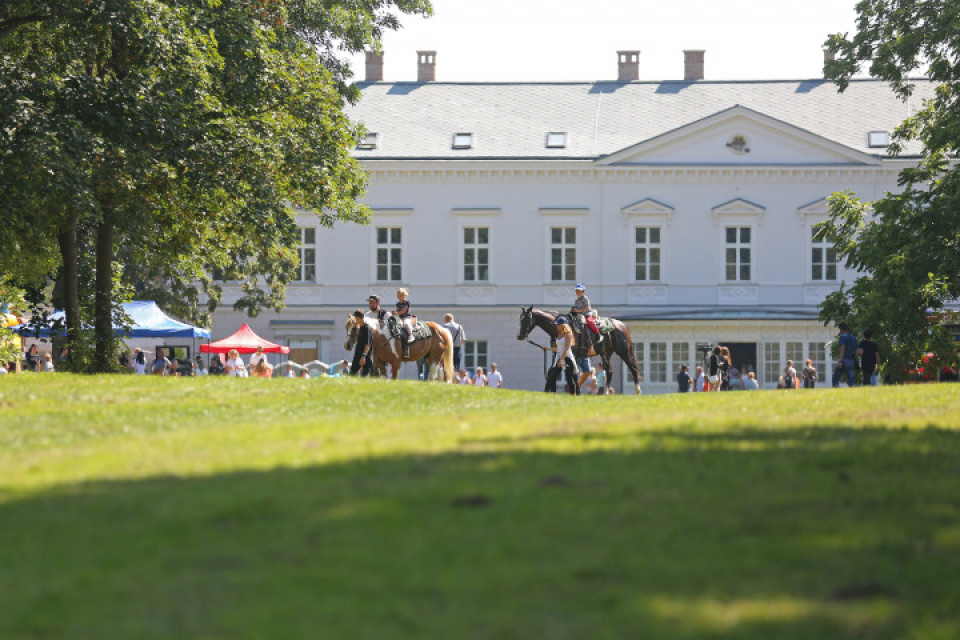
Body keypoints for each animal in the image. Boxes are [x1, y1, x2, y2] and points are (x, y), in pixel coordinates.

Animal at [512, 306, 640, 396]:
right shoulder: (558, 354)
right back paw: (606, 393)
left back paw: (638, 392)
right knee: (609, 371)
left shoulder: (570, 354)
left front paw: (574, 392)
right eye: (520, 319)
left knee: (633, 369)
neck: (560, 327)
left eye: (527, 319)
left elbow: (570, 373)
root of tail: (622, 324)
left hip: (624, 351)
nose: (519, 336)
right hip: (606, 354)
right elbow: (553, 372)